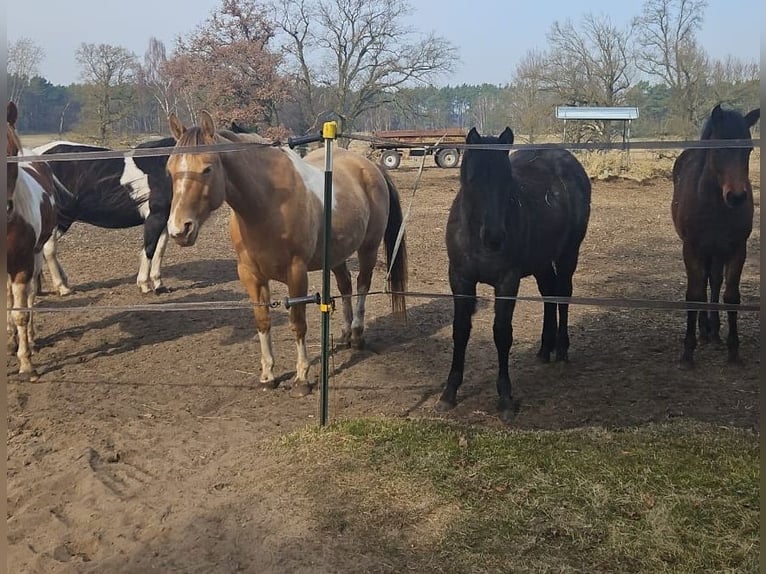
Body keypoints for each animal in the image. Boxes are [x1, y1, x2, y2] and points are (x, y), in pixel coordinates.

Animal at [33, 136, 176, 294]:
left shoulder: (164, 218)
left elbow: (160, 249)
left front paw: (159, 284)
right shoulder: (155, 216)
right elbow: (149, 249)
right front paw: (144, 284)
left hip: (64, 219)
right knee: (49, 249)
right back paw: (62, 287)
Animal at [165, 111, 408, 396]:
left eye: (207, 168)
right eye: (169, 170)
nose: (179, 230)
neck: (266, 205)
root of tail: (370, 167)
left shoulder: (296, 272)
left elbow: (298, 323)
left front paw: (302, 378)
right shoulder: (250, 274)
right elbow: (262, 321)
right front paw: (268, 375)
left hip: (368, 247)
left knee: (362, 286)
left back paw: (358, 335)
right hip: (336, 254)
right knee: (346, 285)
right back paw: (346, 334)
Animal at [436, 127, 591, 422]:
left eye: (507, 179)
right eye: (473, 179)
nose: (495, 236)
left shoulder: (507, 281)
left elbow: (502, 334)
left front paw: (505, 398)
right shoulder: (460, 279)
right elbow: (460, 330)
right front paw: (449, 393)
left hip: (567, 254)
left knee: (562, 295)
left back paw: (562, 350)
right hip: (541, 261)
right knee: (548, 294)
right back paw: (544, 349)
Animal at [671, 104, 760, 367]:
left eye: (748, 150)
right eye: (719, 149)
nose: (737, 197)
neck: (713, 204)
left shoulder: (737, 249)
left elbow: (730, 295)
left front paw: (733, 351)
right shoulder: (691, 249)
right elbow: (694, 294)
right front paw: (687, 353)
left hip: (717, 252)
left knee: (714, 281)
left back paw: (714, 332)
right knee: (703, 284)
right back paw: (704, 331)